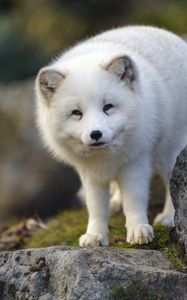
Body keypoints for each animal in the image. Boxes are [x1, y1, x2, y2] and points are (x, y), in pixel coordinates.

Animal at [35, 25, 187, 246]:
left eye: (108, 107)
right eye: (76, 113)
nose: (95, 134)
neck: (104, 158)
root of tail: (171, 35)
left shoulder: (135, 162)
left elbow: (134, 200)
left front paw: (138, 230)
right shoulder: (89, 173)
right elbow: (96, 207)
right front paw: (95, 235)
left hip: (168, 153)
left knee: (171, 184)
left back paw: (168, 217)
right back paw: (116, 202)